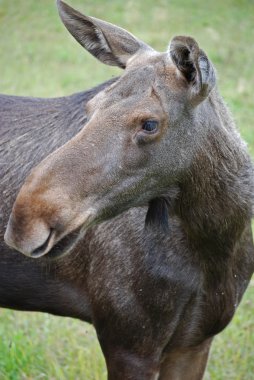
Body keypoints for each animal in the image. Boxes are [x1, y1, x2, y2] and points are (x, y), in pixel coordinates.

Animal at [0, 1, 254, 378]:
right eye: (90, 107)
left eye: (149, 123)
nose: (25, 220)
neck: (217, 242)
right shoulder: (129, 343)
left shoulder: (195, 341)